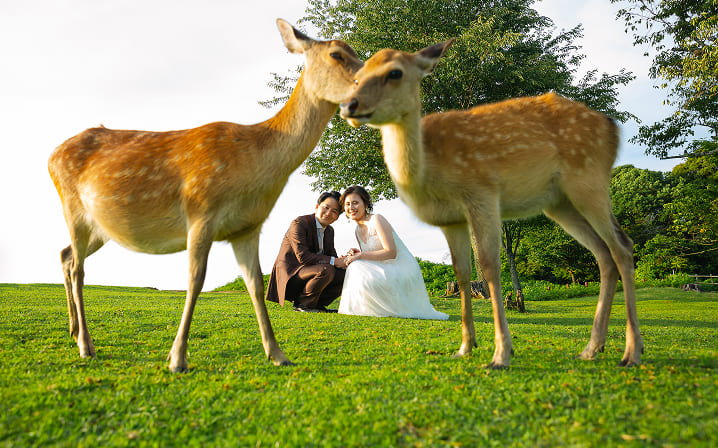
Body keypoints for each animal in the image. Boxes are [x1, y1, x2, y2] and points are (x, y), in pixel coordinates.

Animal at [47, 19, 363, 372]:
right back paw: (86, 345)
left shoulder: (248, 227)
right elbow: (196, 279)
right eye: (336, 54)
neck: (253, 167)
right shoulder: (201, 211)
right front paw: (177, 358)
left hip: (102, 227)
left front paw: (278, 354)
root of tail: (51, 156)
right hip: (73, 207)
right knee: (78, 268)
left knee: (66, 255)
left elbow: (255, 284)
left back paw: (74, 331)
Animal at [339, 40, 643, 369]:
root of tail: (615, 130)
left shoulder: (482, 194)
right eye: (357, 76)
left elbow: (489, 266)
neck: (430, 172)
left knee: (622, 246)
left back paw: (631, 352)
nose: (349, 105)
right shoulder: (451, 220)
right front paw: (465, 347)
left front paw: (501, 353)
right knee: (603, 253)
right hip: (560, 202)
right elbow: (462, 273)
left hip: (589, 178)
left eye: (395, 72)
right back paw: (591, 348)